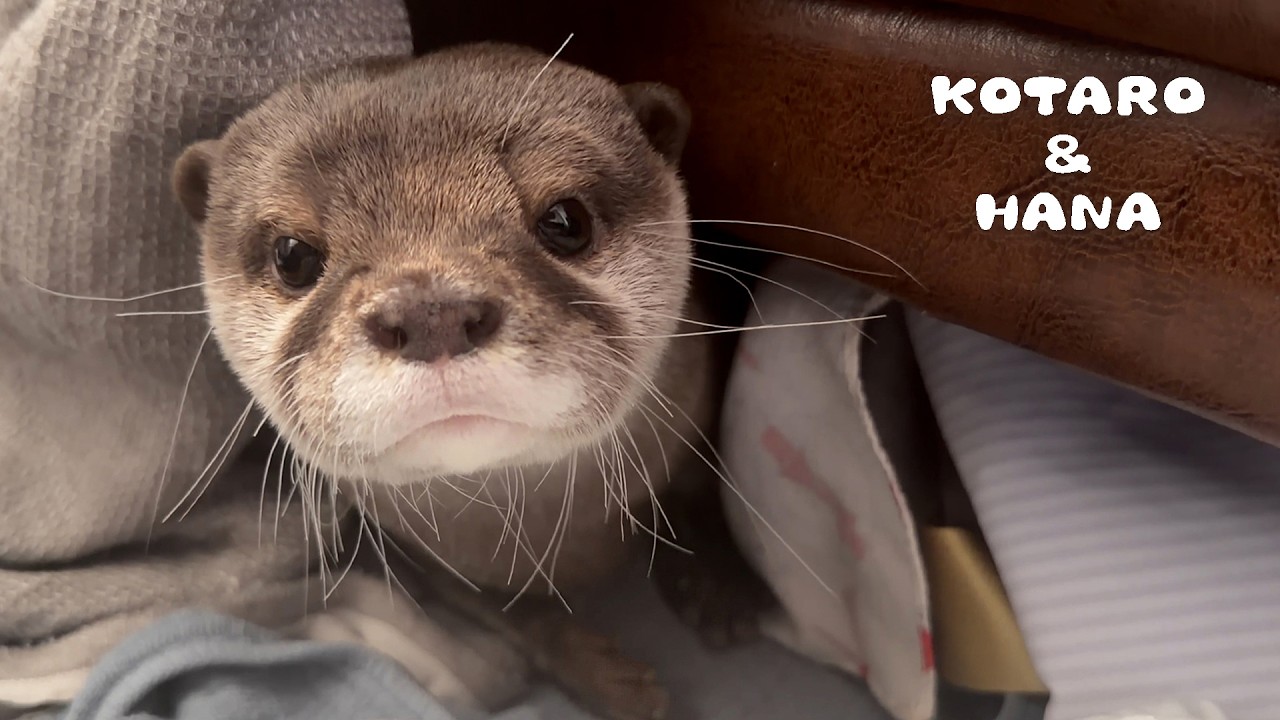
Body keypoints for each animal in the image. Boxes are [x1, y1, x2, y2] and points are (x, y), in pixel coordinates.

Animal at [172, 42, 774, 720]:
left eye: (566, 220)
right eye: (293, 255)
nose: (431, 312)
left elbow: (702, 484)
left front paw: (719, 582)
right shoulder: (428, 557)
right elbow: (518, 615)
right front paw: (606, 678)